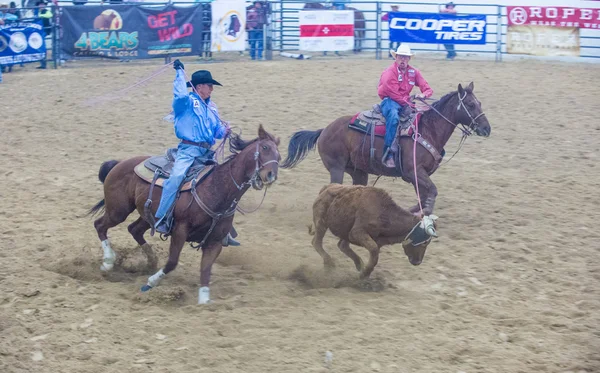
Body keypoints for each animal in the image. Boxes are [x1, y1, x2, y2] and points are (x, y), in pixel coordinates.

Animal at [88, 124, 280, 302]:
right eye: (265, 148)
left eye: (279, 156)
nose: (271, 175)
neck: (216, 189)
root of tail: (119, 163)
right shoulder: (180, 231)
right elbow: (172, 262)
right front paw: (150, 283)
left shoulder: (215, 241)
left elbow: (205, 269)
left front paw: (204, 300)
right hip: (118, 210)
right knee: (100, 225)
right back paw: (108, 262)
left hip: (148, 216)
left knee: (134, 229)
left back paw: (151, 261)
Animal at [282, 81, 492, 215]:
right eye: (470, 104)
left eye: (480, 103)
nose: (487, 129)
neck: (428, 129)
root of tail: (324, 130)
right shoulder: (413, 171)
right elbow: (432, 192)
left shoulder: (419, 175)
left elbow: (423, 196)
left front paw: (414, 211)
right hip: (336, 168)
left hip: (359, 171)